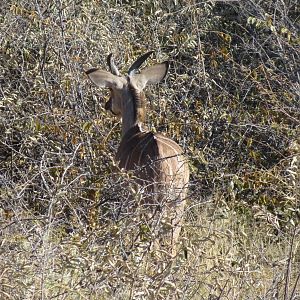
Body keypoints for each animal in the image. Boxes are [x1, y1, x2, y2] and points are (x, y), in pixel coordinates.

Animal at [85, 51, 189, 255]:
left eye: (111, 90)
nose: (107, 105)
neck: (135, 130)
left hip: (152, 202)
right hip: (178, 203)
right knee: (172, 243)